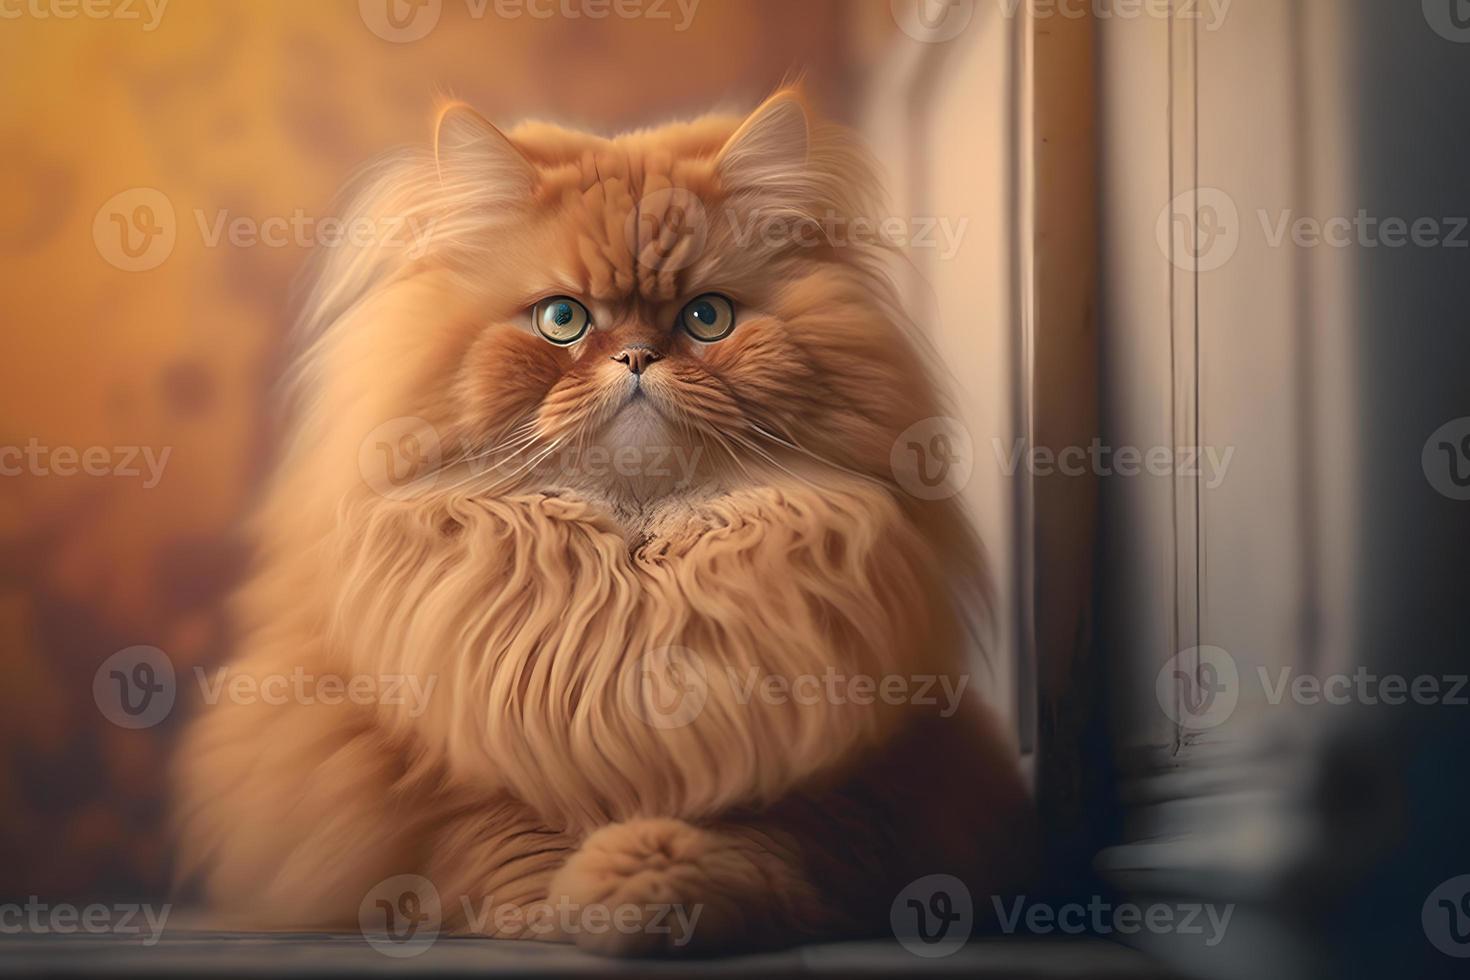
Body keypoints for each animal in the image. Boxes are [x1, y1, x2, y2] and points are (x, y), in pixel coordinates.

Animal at [171, 86, 1029, 957]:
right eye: (562, 319)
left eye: (707, 317)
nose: (639, 356)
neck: (635, 570)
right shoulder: (455, 763)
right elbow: (512, 839)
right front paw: (578, 901)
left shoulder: (834, 776)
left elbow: (764, 840)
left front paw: (660, 882)